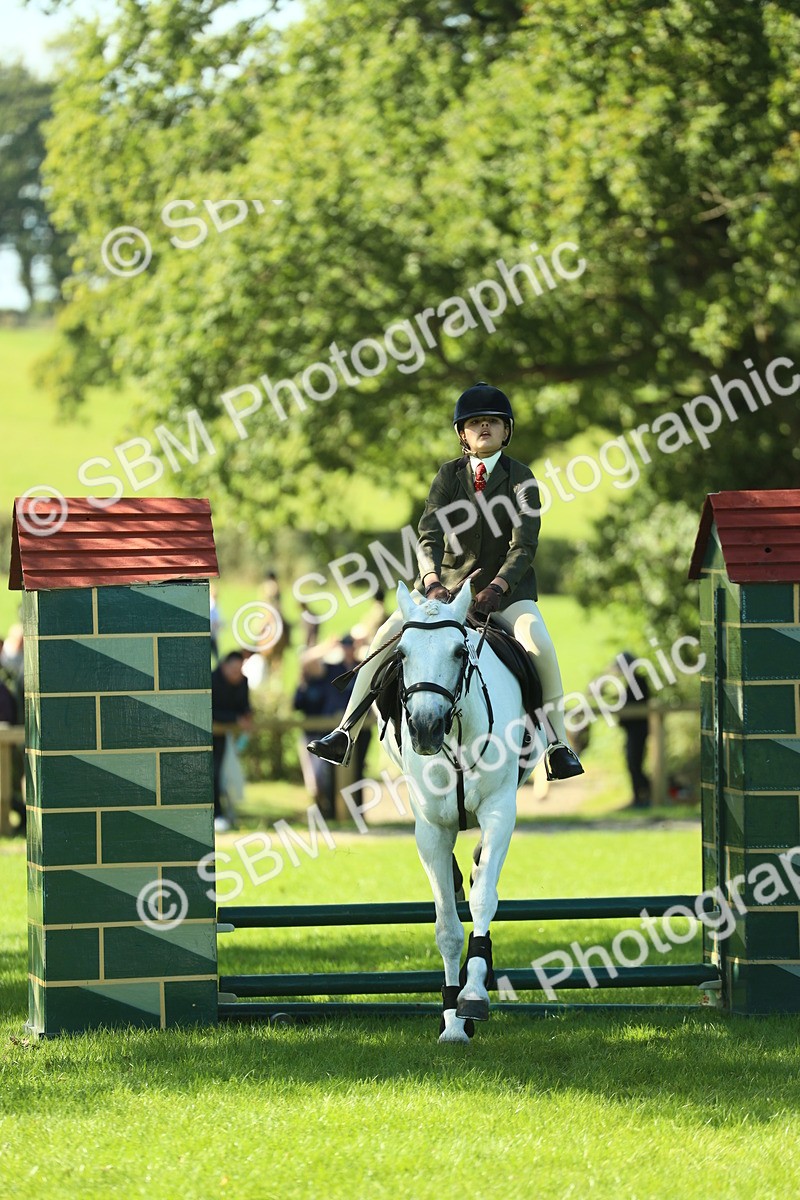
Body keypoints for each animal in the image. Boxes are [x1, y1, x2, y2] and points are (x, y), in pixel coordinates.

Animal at [381, 580, 544, 1042]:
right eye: (401, 654)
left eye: (459, 652)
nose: (424, 728)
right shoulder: (432, 829)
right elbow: (448, 929)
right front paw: (453, 1020)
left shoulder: (498, 812)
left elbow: (484, 899)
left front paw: (472, 995)